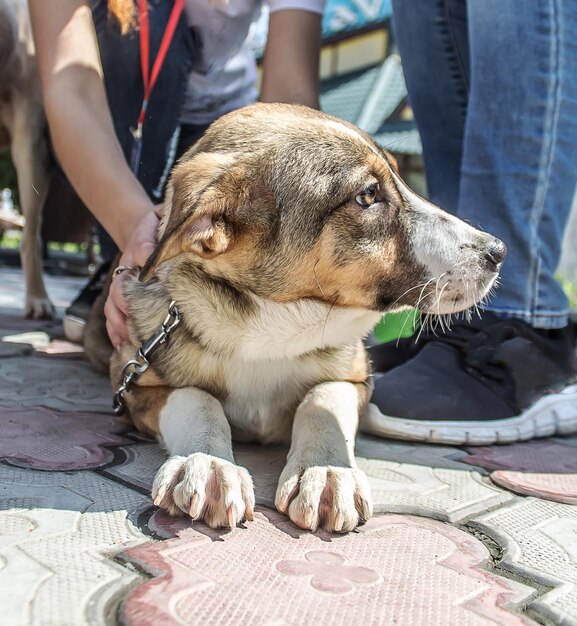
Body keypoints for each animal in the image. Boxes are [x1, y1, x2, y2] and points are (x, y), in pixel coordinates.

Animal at [106, 102, 502, 532]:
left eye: (399, 176)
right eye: (368, 194)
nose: (498, 251)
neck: (271, 335)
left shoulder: (357, 381)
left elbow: (321, 398)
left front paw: (327, 471)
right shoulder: (135, 385)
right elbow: (195, 397)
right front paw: (207, 463)